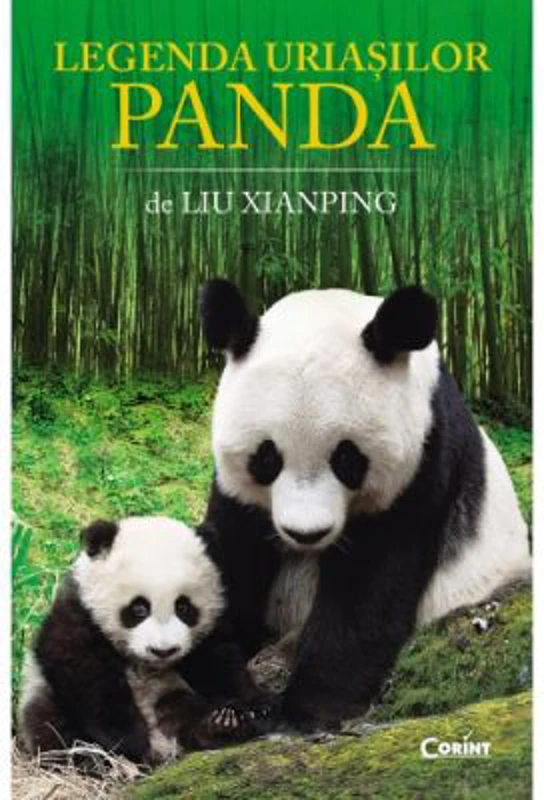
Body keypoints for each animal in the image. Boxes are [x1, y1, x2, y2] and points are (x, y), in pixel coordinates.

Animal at [19, 516, 272, 765]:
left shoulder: (209, 632)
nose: (163, 651)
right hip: (44, 695)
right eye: (139, 608)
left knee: (185, 710)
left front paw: (255, 706)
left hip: (173, 694)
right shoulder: (79, 614)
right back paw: (89, 758)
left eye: (183, 607)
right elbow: (81, 668)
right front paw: (128, 738)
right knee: (51, 724)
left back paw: (221, 725)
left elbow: (219, 662)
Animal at [199, 279, 531, 730]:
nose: (307, 533)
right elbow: (230, 557)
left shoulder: (423, 461)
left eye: (347, 459)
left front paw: (312, 707)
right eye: (266, 458)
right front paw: (232, 695)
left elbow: (370, 584)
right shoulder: (239, 497)